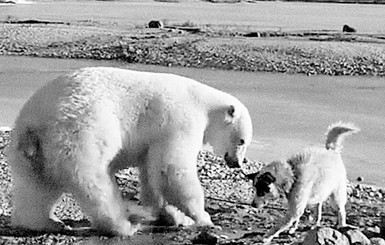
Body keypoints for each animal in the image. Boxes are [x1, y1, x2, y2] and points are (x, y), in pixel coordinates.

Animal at [6, 66, 252, 236]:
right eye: (242, 140)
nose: (237, 163)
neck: (203, 102)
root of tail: (34, 122)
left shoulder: (152, 141)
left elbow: (152, 174)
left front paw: (172, 216)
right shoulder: (181, 120)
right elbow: (172, 169)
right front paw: (202, 218)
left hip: (34, 151)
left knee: (36, 188)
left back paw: (46, 222)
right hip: (82, 130)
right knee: (94, 181)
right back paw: (123, 225)